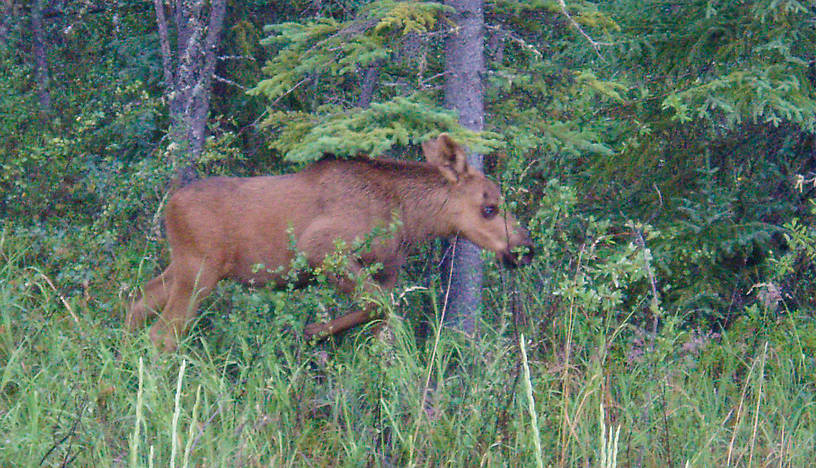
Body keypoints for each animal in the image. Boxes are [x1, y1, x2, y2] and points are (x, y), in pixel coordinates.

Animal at [126, 133, 536, 350]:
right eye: (488, 207)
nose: (525, 249)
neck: (407, 219)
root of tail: (170, 204)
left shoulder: (386, 271)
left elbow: (379, 310)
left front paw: (315, 333)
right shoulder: (321, 249)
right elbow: (380, 305)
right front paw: (313, 332)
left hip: (182, 266)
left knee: (140, 299)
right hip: (200, 272)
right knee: (162, 334)